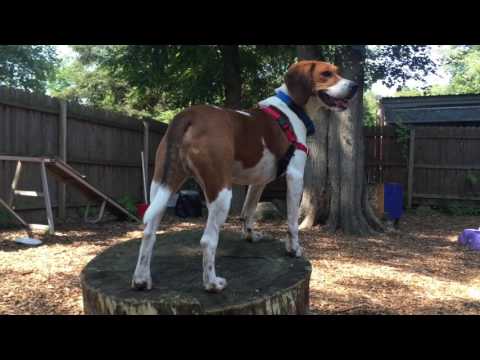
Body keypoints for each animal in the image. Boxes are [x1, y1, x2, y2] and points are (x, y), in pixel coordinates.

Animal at [133, 61, 358, 292]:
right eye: (326, 74)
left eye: (337, 71)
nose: (355, 86)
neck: (292, 108)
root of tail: (188, 115)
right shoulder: (295, 176)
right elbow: (292, 223)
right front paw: (294, 249)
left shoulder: (258, 182)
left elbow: (248, 211)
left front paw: (250, 235)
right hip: (221, 193)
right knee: (207, 241)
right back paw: (212, 283)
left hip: (162, 185)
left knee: (149, 231)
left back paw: (141, 279)